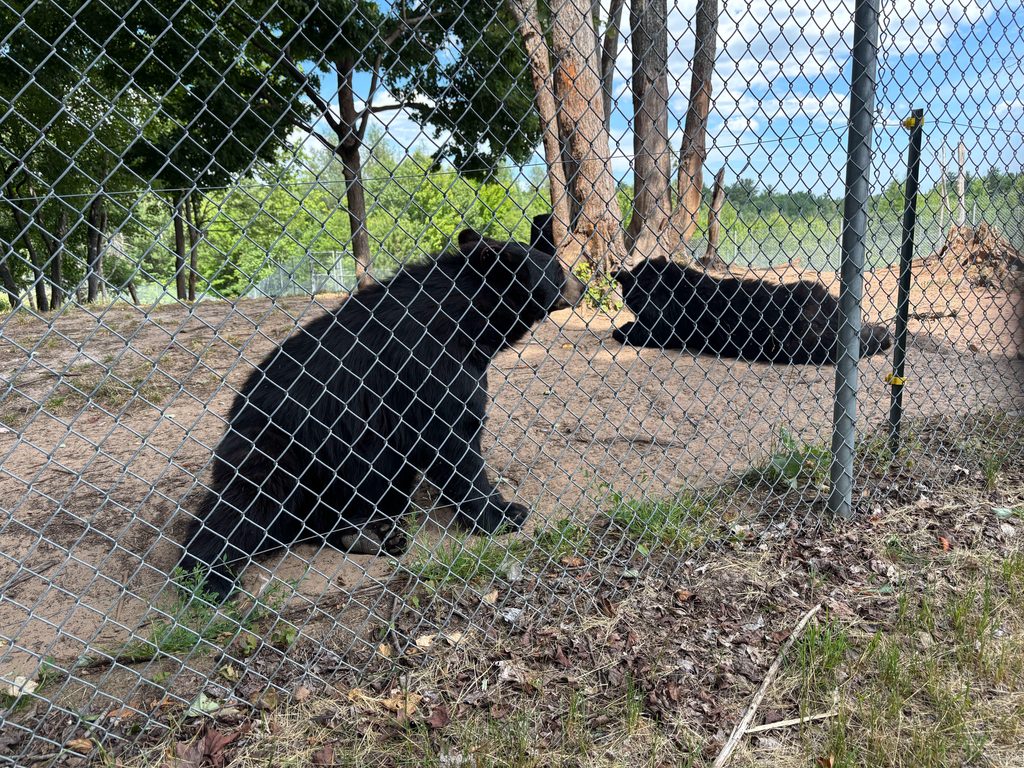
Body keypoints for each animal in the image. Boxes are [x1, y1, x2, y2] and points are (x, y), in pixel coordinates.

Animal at [178, 228, 584, 600]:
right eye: (557, 269)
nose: (582, 285)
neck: (469, 319)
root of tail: (233, 414)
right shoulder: (433, 365)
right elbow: (454, 438)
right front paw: (504, 514)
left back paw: (368, 533)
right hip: (278, 447)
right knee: (247, 503)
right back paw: (210, 577)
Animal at [610, 257, 893, 364]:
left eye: (637, 296)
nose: (639, 305)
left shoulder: (660, 330)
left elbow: (628, 331)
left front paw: (620, 329)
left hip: (808, 341)